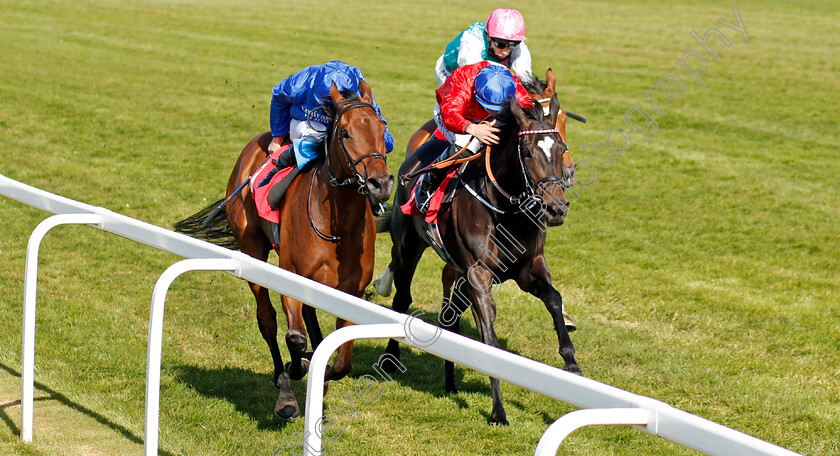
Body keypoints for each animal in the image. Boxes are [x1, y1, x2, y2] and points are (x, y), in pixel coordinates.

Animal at [173, 83, 394, 420]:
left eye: (382, 128)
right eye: (344, 132)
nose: (380, 184)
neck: (335, 222)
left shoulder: (352, 292)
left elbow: (340, 361)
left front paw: (320, 376)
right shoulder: (291, 278)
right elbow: (294, 337)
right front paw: (294, 374)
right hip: (253, 252)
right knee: (268, 320)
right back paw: (283, 379)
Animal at [378, 91, 580, 426]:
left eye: (561, 148)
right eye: (526, 152)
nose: (556, 209)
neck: (506, 209)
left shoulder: (529, 268)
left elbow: (554, 298)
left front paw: (571, 362)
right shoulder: (478, 274)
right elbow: (489, 339)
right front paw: (498, 411)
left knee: (449, 313)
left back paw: (449, 381)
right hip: (409, 247)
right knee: (402, 298)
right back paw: (390, 358)